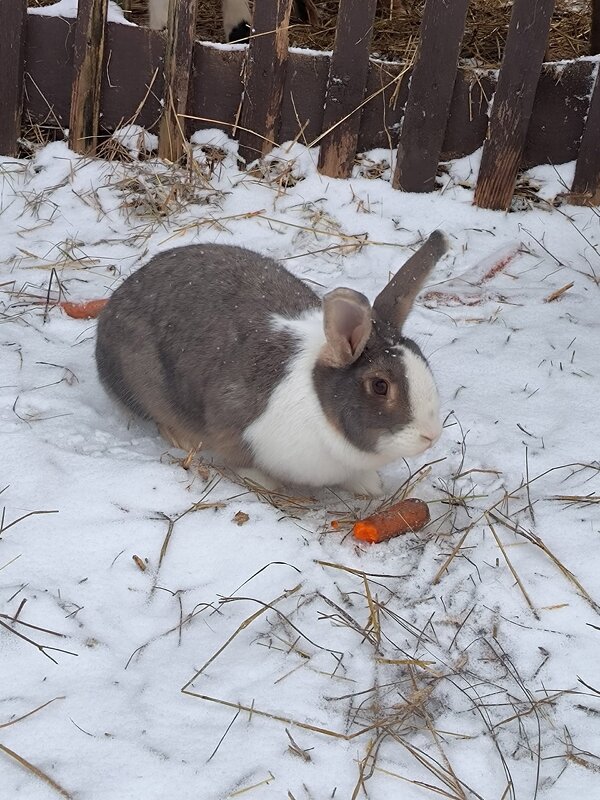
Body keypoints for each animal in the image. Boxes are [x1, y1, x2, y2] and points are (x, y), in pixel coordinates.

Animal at [96, 228, 448, 496]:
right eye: (379, 385)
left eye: (423, 360)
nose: (431, 435)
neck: (320, 407)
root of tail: (117, 300)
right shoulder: (234, 423)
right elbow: (242, 459)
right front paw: (265, 482)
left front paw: (369, 486)